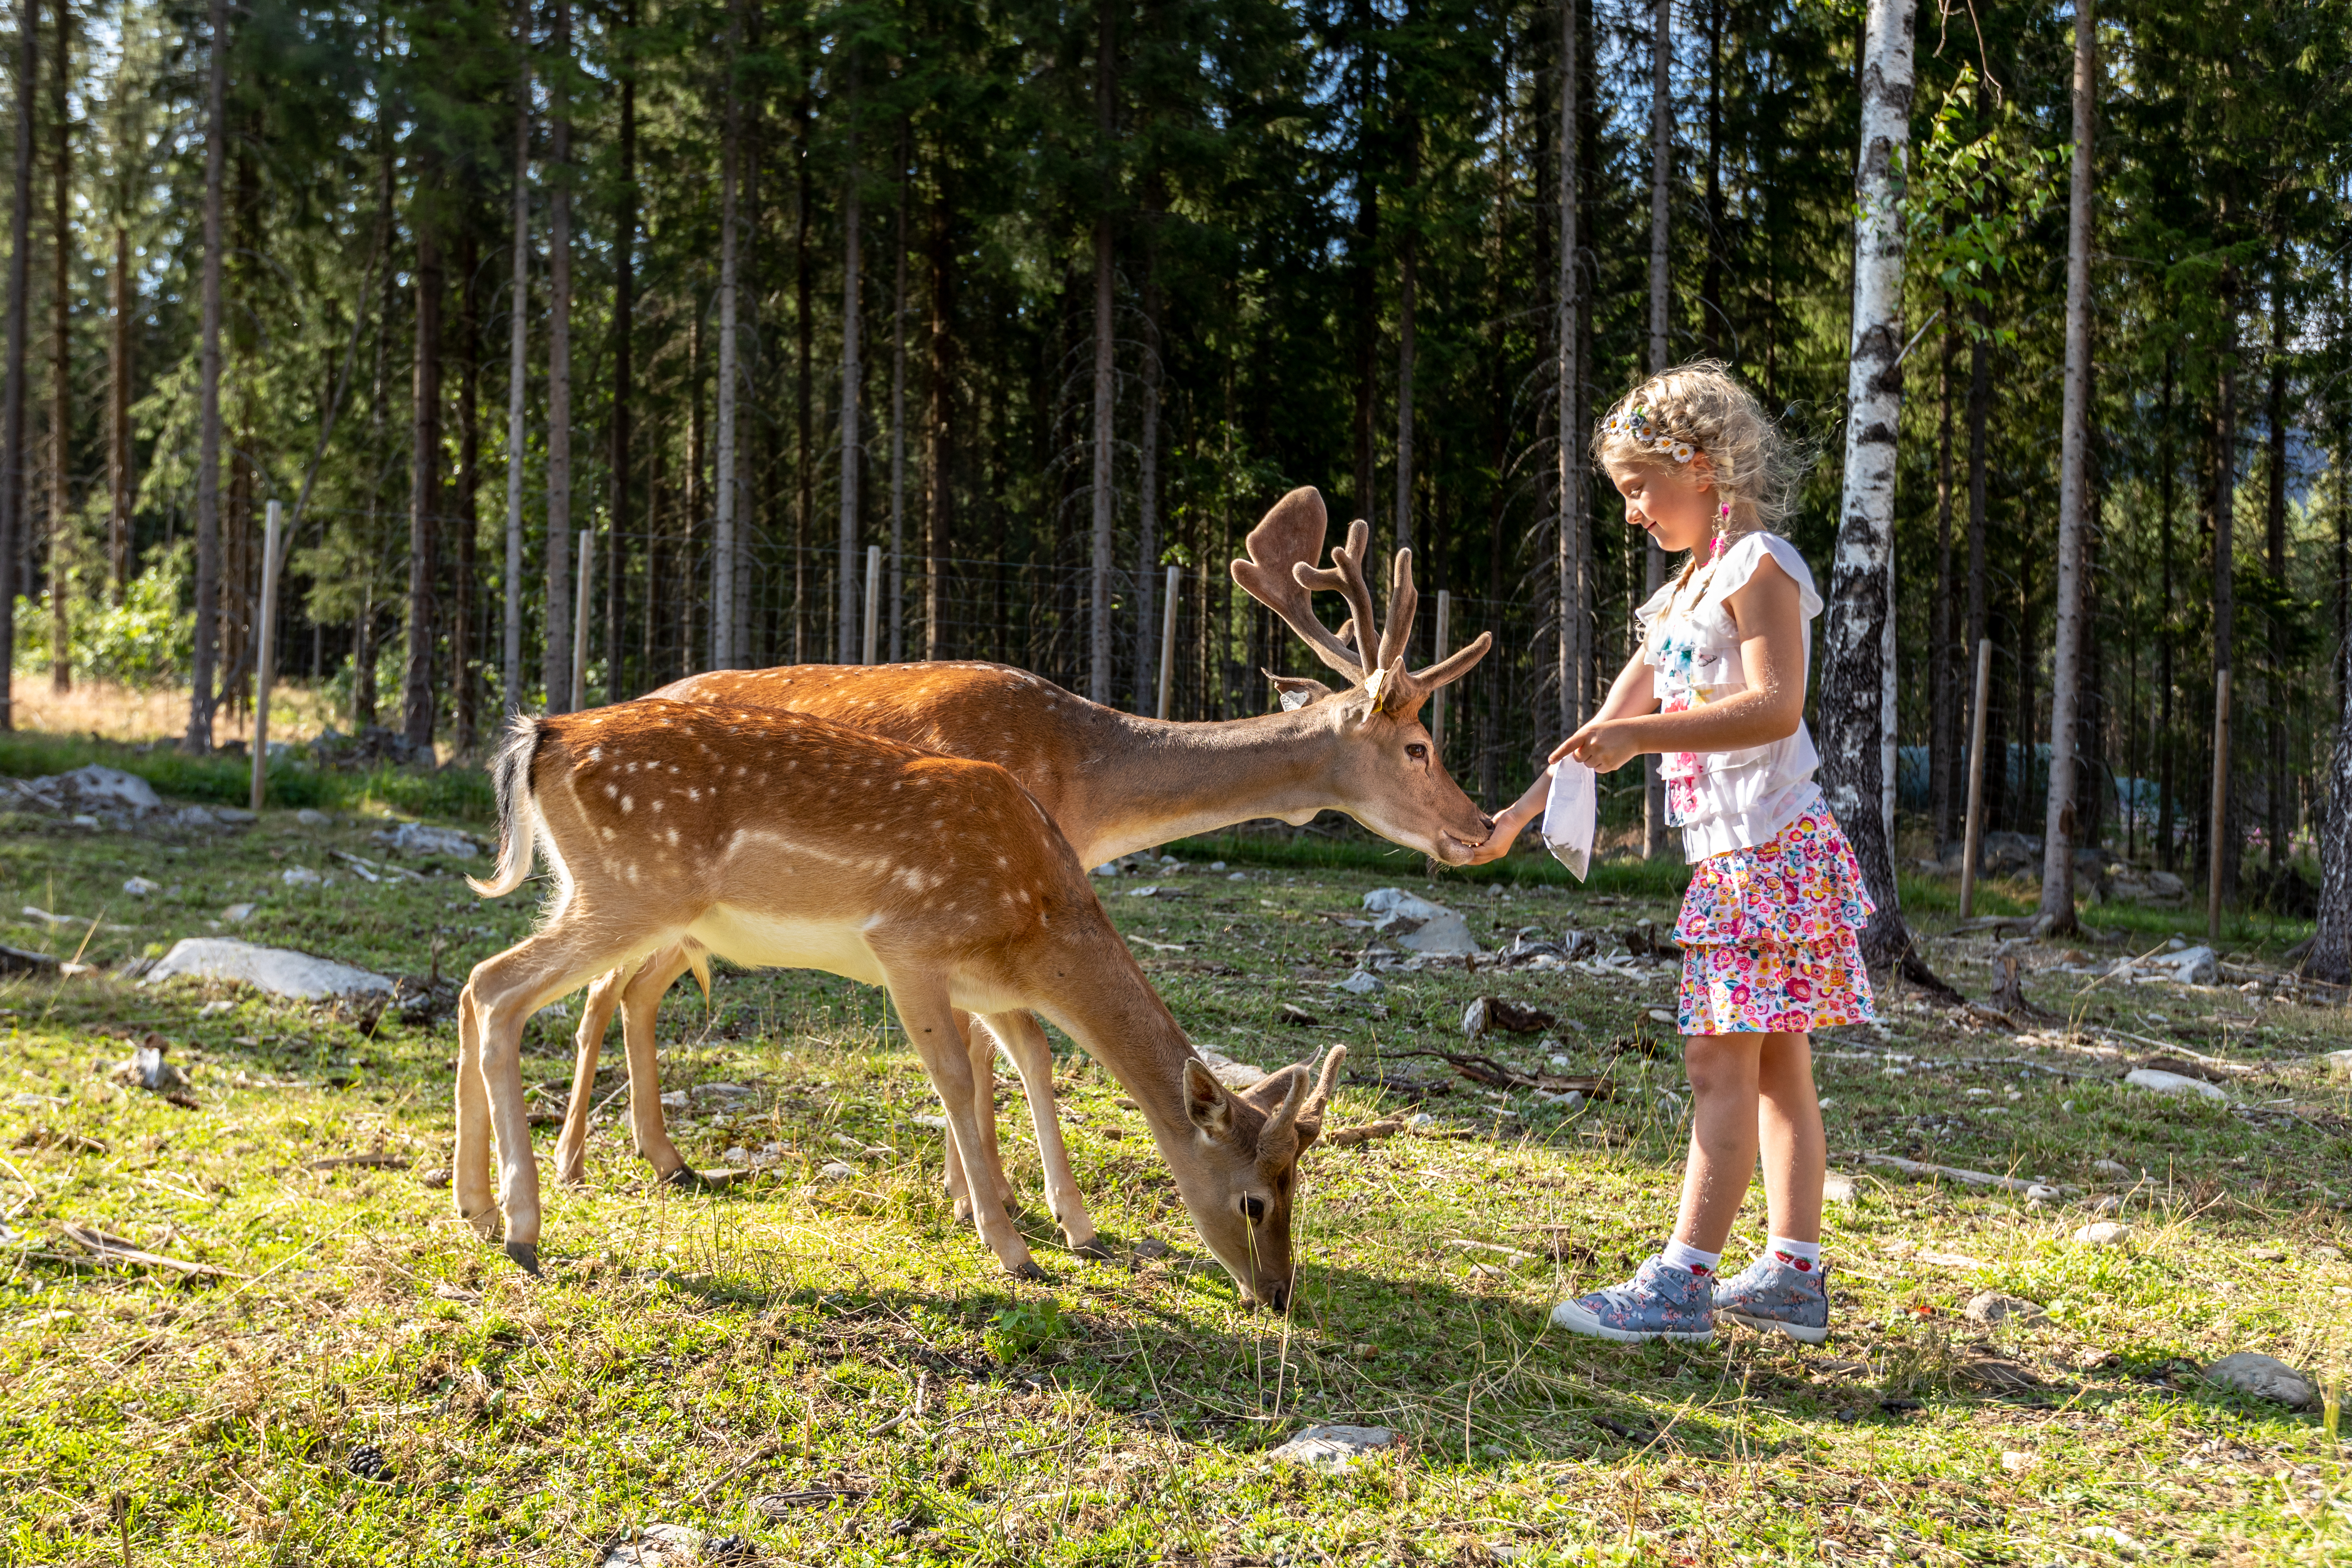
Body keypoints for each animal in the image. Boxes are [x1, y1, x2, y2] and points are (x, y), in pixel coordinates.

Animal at [456, 705, 1345, 1307]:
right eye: (1254, 1199)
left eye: (1298, 1186)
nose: (1278, 1294)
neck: (1037, 922)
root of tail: (542, 736)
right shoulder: (909, 948)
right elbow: (954, 1078)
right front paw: (1012, 1248)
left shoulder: (991, 987)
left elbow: (1032, 1061)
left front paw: (1078, 1229)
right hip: (631, 893)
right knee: (499, 988)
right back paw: (524, 1226)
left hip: (603, 897)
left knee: (474, 986)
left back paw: (475, 1208)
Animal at [545, 484, 1486, 1260]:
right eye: (1419, 745)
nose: (1480, 828)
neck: (1086, 786)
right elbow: (983, 1046)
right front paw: (984, 1201)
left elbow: (999, 1042)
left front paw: (998, 1199)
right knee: (598, 991)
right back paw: (574, 1162)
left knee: (628, 991)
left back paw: (661, 1157)